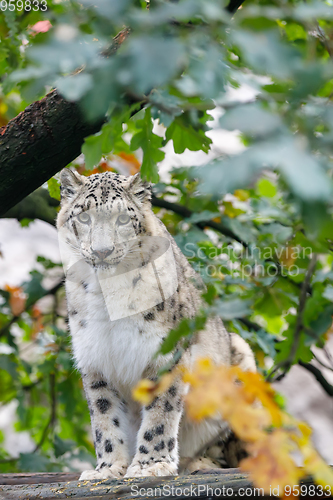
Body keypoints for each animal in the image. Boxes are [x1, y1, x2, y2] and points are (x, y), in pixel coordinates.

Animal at [57, 169, 254, 480]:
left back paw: (198, 463)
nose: (102, 251)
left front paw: (150, 465)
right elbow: (104, 417)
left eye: (122, 219)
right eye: (84, 217)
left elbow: (161, 411)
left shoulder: (166, 354)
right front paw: (107, 469)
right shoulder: (95, 359)